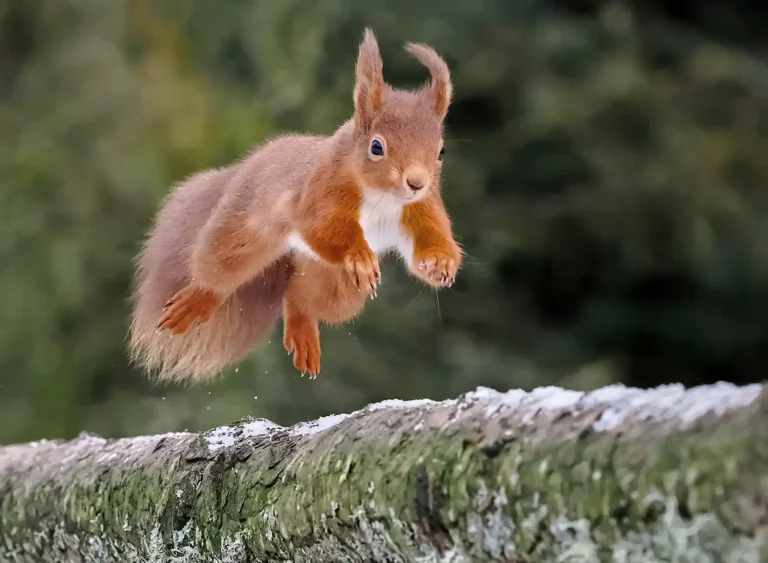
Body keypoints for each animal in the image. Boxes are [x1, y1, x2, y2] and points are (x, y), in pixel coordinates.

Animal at [128, 28, 462, 382]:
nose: (417, 183)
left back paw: (303, 333)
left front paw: (440, 263)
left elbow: (428, 241)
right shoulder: (321, 193)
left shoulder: (422, 210)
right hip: (244, 229)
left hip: (331, 283)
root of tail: (246, 166)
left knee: (299, 298)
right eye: (376, 147)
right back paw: (195, 302)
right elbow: (325, 226)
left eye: (441, 152)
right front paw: (359, 256)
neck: (383, 197)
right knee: (218, 269)